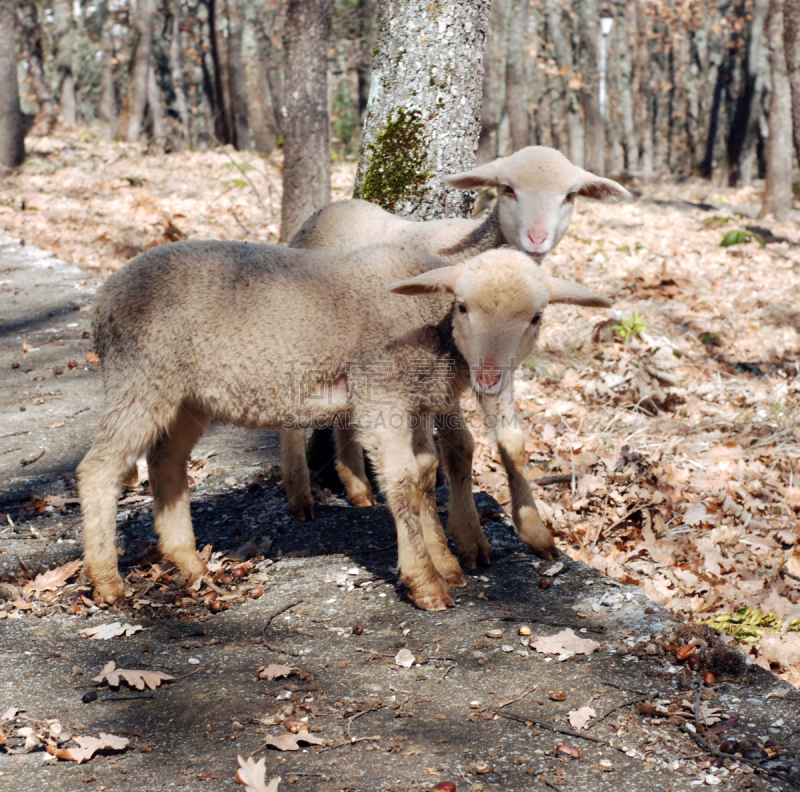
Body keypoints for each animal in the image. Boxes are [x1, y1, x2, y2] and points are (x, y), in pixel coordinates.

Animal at [78, 240, 608, 608]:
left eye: (536, 317)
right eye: (462, 306)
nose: (491, 375)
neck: (429, 320)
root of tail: (103, 298)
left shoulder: (415, 400)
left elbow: (427, 473)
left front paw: (450, 559)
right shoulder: (381, 391)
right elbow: (402, 479)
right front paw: (426, 581)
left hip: (187, 394)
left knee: (166, 460)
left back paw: (186, 559)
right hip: (142, 375)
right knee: (99, 470)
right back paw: (107, 579)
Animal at [282, 145, 632, 568]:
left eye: (570, 195)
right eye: (507, 189)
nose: (537, 238)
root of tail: (331, 208)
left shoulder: (495, 365)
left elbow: (513, 441)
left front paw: (534, 531)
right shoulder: (442, 370)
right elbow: (460, 446)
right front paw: (469, 539)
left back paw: (357, 484)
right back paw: (300, 494)